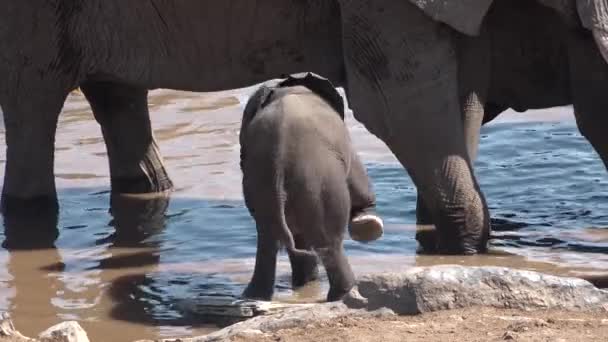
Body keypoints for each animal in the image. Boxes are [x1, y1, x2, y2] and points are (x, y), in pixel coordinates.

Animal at [240, 73, 382, 302]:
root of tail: (278, 159)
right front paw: (367, 222)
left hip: (262, 186)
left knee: (268, 237)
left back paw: (259, 295)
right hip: (320, 184)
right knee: (329, 242)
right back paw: (344, 292)